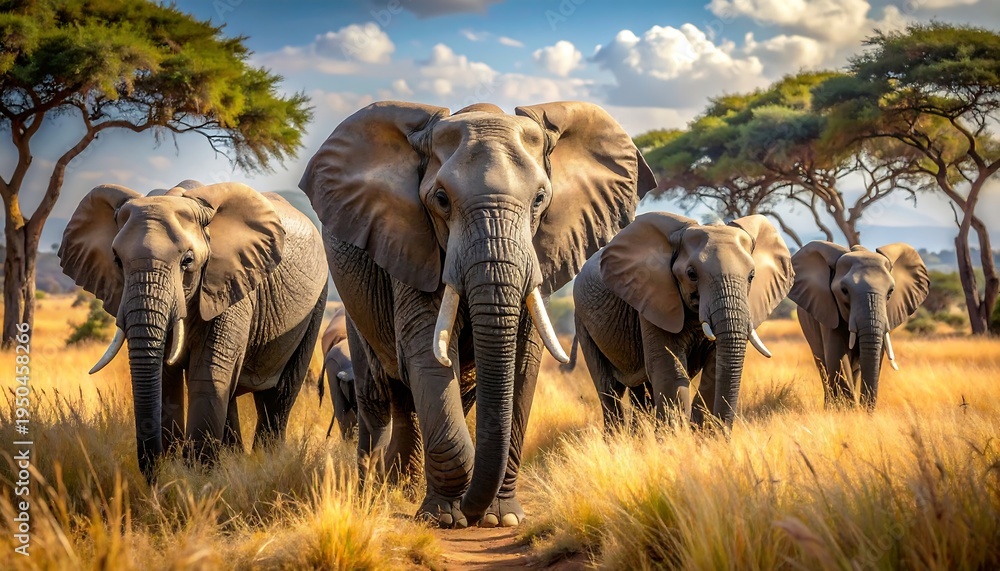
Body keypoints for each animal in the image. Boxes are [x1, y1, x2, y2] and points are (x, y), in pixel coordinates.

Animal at [58, 181, 328, 480]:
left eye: (187, 261)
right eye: (117, 261)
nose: (155, 474)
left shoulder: (231, 284)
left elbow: (207, 372)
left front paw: (198, 476)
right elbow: (166, 377)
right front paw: (179, 469)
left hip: (316, 304)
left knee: (280, 392)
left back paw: (267, 461)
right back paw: (233, 460)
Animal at [573, 212, 794, 431]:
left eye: (751, 276)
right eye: (692, 274)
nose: (723, 433)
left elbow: (714, 369)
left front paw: (699, 434)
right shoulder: (654, 297)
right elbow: (669, 370)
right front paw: (678, 436)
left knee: (639, 391)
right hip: (582, 321)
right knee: (608, 388)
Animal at [788, 241, 929, 409]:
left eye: (891, 291)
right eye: (844, 290)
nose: (865, 408)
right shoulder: (828, 311)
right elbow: (837, 359)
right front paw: (851, 411)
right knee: (823, 366)